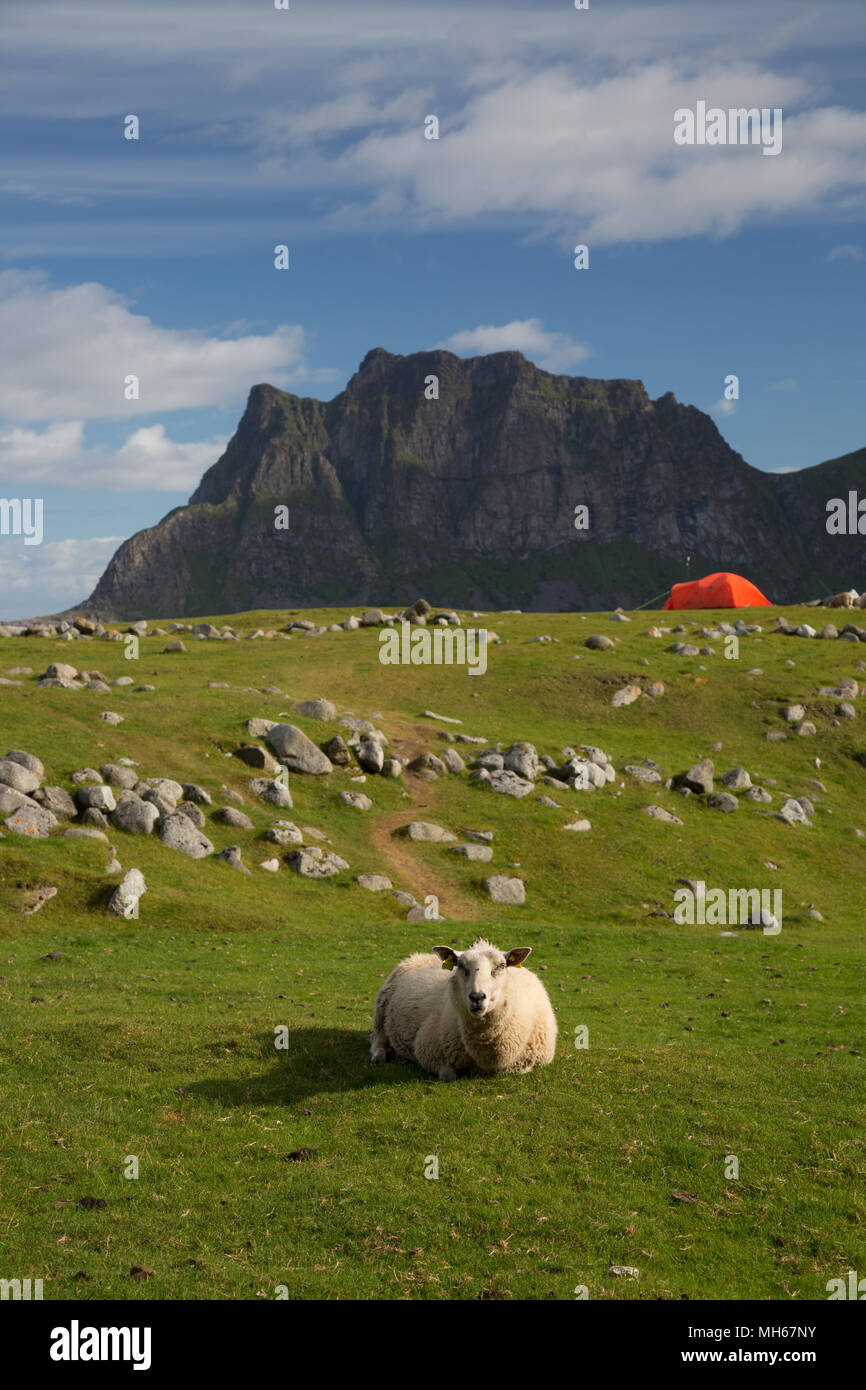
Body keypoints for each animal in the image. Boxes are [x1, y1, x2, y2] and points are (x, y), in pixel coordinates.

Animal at [369, 939, 558, 1078]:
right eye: (460, 966)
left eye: (501, 966)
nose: (477, 997)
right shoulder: (429, 1051)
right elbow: (447, 1075)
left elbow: (522, 1069)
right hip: (381, 1008)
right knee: (378, 1038)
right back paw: (379, 1055)